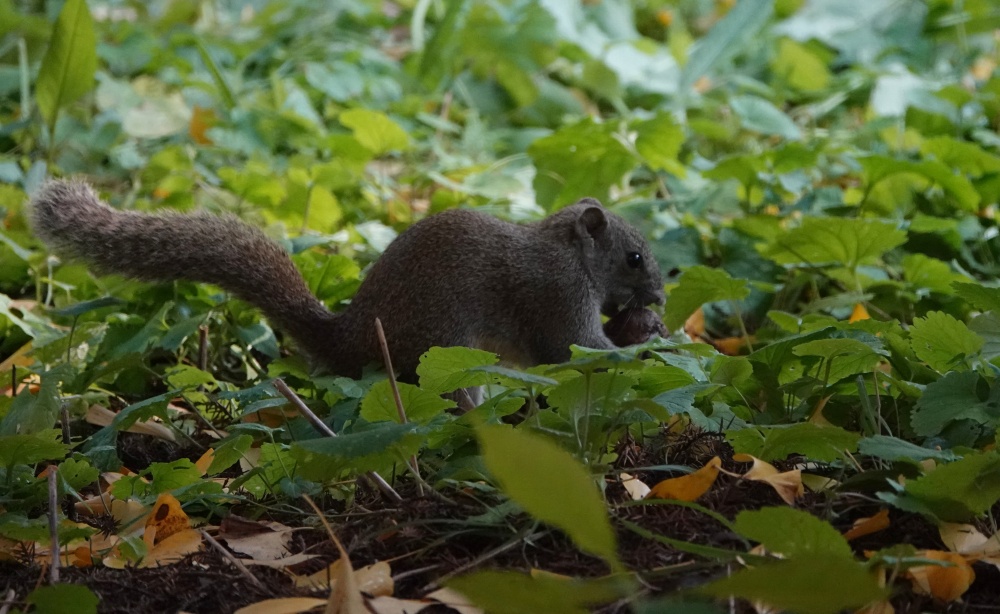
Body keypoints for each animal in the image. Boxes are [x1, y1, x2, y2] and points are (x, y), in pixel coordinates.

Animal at [29, 179, 664, 380]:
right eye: (634, 257)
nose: (659, 295)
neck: (566, 250)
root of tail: (348, 339)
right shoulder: (558, 294)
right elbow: (578, 349)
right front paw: (651, 344)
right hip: (445, 351)